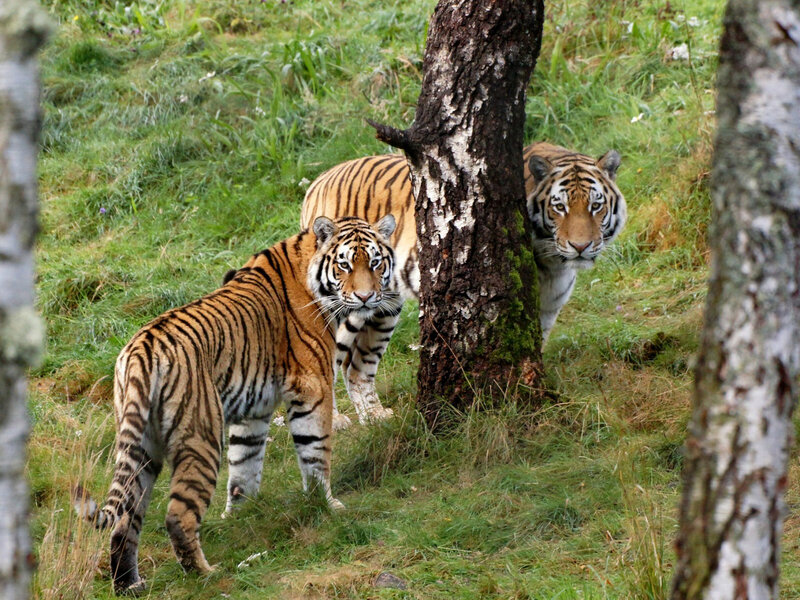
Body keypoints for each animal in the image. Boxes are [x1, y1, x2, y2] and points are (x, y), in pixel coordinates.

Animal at [72, 215, 396, 594]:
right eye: (345, 265)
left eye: (375, 262)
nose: (365, 297)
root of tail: (141, 349)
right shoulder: (313, 385)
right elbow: (315, 453)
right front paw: (328, 505)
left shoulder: (253, 410)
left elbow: (244, 464)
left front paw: (239, 515)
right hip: (201, 437)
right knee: (178, 516)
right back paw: (206, 574)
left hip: (139, 445)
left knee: (126, 518)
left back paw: (129, 585)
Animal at [300, 142, 626, 425]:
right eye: (560, 207)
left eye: (596, 206)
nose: (581, 246)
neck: (555, 264)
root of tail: (318, 182)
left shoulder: (545, 309)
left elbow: (533, 352)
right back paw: (335, 421)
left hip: (383, 307)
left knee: (356, 367)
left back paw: (375, 418)